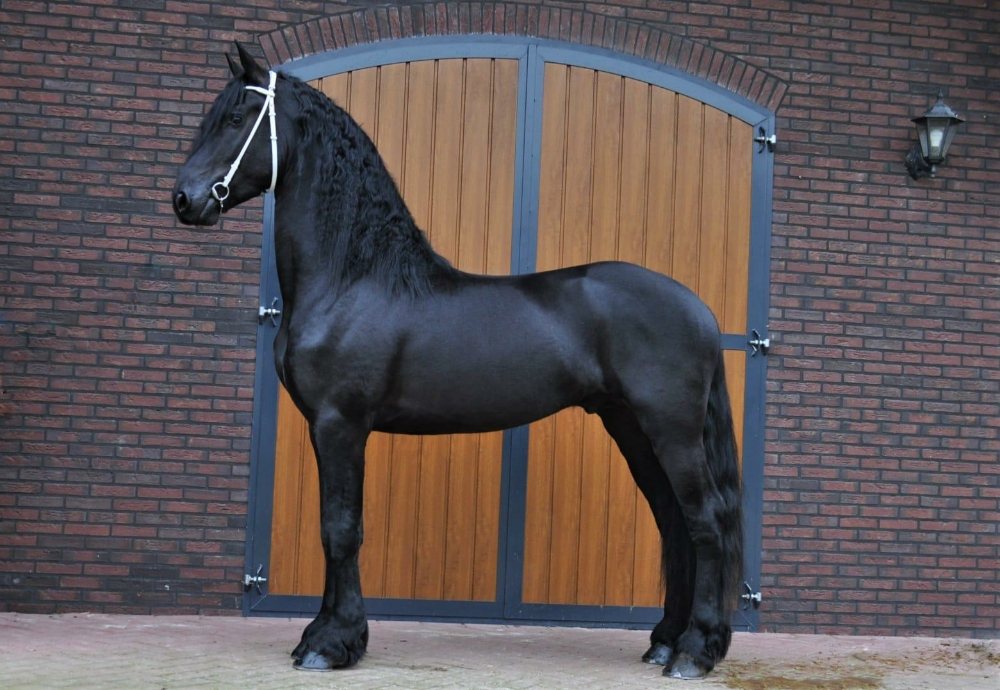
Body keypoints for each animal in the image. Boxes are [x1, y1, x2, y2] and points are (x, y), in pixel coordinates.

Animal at [173, 43, 743, 680]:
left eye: (235, 119)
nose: (185, 200)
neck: (351, 279)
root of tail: (700, 310)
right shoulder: (327, 428)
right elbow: (333, 527)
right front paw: (328, 634)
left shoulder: (341, 424)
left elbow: (340, 528)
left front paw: (330, 643)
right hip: (632, 428)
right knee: (674, 523)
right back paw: (666, 641)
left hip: (670, 431)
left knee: (706, 521)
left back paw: (695, 651)